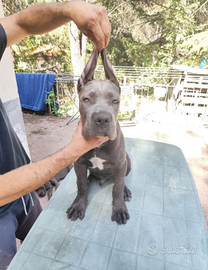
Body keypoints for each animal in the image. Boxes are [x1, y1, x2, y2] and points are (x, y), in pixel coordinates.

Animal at [66, 48, 132, 224]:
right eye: (86, 99)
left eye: (115, 101)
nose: (102, 119)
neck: (98, 144)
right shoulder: (79, 163)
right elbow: (81, 185)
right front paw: (78, 205)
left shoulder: (120, 164)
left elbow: (117, 187)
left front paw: (119, 208)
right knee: (89, 178)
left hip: (127, 161)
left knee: (120, 180)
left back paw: (125, 190)